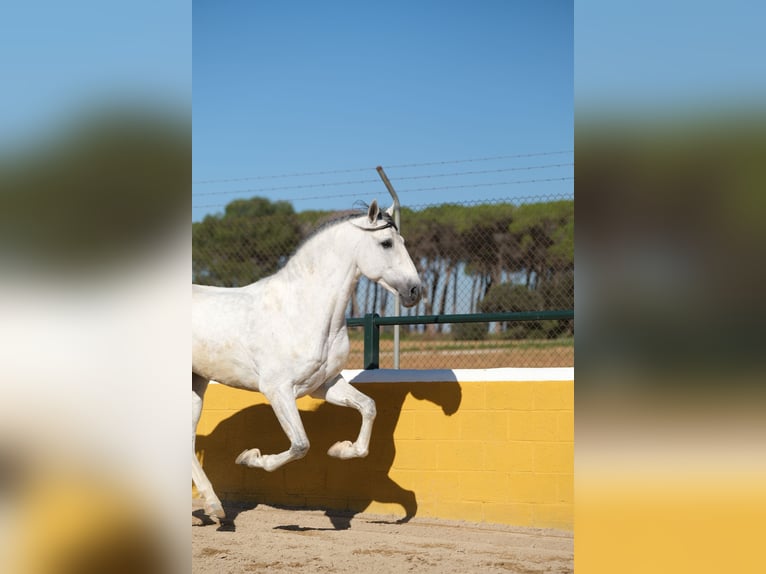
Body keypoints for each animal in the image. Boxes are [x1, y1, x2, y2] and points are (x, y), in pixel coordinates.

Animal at [192, 202, 420, 520]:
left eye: (403, 242)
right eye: (386, 243)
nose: (415, 291)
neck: (302, 310)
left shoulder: (324, 385)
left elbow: (368, 407)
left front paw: (340, 449)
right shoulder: (278, 390)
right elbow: (300, 444)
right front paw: (250, 458)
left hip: (196, 383)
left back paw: (214, 507)